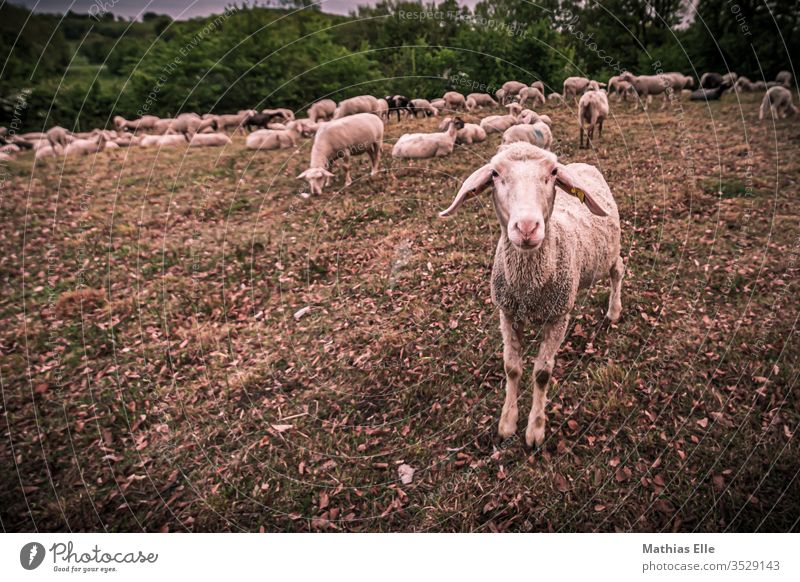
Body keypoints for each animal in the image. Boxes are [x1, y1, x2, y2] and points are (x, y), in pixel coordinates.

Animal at [440, 141, 620, 448]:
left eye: (553, 172)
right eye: (495, 174)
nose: (526, 228)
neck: (528, 288)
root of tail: (583, 165)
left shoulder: (558, 317)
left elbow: (542, 373)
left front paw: (535, 429)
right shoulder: (508, 313)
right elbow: (512, 367)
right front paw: (507, 423)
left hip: (611, 250)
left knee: (618, 270)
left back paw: (614, 311)